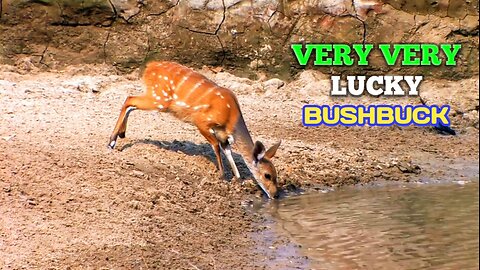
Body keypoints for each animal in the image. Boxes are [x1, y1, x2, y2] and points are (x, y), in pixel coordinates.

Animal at [109, 62, 282, 199]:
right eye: (267, 175)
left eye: (276, 175)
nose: (275, 195)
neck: (231, 117)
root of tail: (150, 66)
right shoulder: (202, 122)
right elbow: (215, 146)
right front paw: (222, 176)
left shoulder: (223, 135)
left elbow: (227, 151)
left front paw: (238, 178)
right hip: (160, 99)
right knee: (130, 99)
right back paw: (111, 142)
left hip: (157, 99)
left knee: (131, 103)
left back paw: (121, 134)